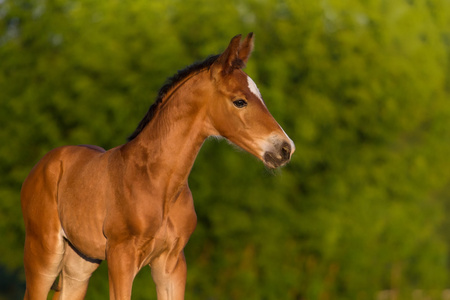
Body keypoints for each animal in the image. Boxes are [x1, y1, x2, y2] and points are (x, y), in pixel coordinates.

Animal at [21, 33, 296, 300]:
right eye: (239, 101)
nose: (285, 148)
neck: (158, 182)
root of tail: (43, 165)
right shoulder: (121, 257)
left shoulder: (171, 262)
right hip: (44, 254)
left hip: (79, 263)